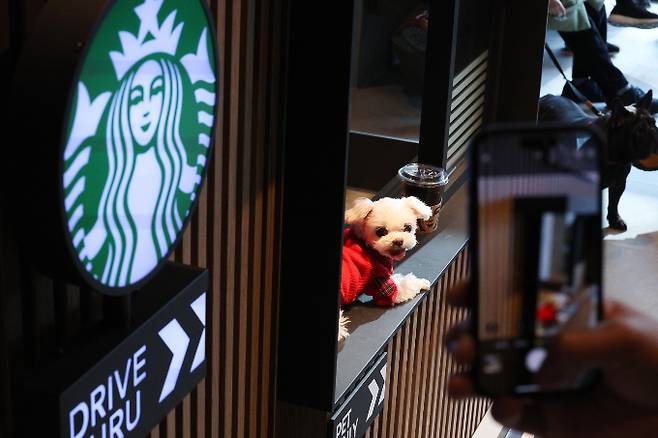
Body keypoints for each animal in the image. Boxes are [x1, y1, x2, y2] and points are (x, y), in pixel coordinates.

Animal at [338, 197, 430, 340]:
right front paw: (422, 283)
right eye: (380, 231)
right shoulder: (379, 281)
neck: (366, 244)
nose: (398, 241)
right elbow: (405, 285)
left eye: (408, 227)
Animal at [540, 91, 656, 231]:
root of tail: (547, 96)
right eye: (640, 131)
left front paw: (614, 220)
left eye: (654, 123)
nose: (655, 133)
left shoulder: (619, 183)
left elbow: (614, 202)